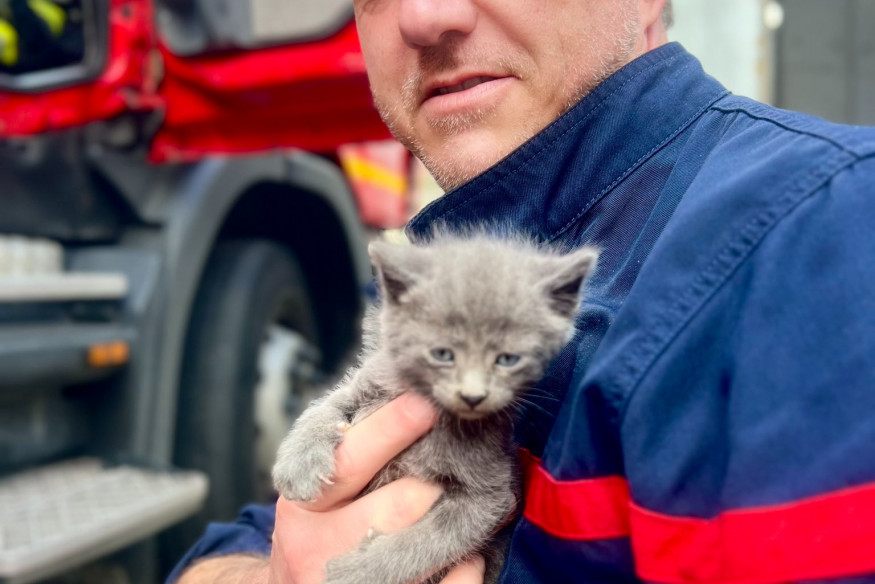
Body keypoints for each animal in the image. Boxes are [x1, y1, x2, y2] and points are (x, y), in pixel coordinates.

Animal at [274, 234, 604, 584]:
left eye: (507, 359)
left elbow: (425, 543)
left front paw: (358, 572)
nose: (473, 395)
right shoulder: (366, 385)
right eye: (442, 353)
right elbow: (323, 408)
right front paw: (299, 463)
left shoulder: (490, 495)